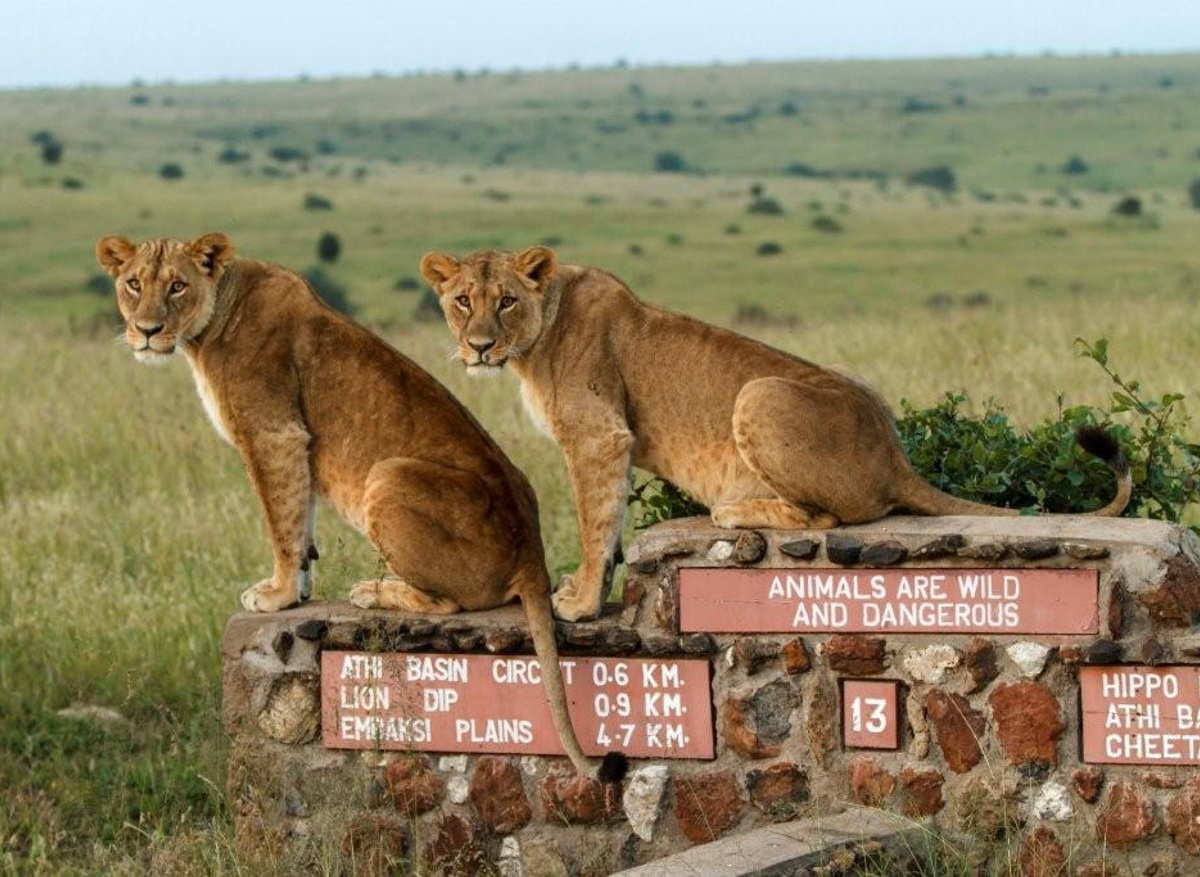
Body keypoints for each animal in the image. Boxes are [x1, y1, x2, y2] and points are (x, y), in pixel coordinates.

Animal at [95, 233, 619, 779]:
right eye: (134, 284)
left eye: (177, 286)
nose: (147, 331)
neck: (212, 320)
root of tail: (532, 554)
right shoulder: (294, 447)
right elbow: (300, 523)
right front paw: (299, 591)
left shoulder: (274, 435)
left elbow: (280, 522)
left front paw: (277, 595)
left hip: (386, 475)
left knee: (451, 603)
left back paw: (372, 591)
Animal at [421, 246, 1132, 622]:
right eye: (463, 300)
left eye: (506, 300)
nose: (479, 346)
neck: (535, 338)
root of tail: (895, 456)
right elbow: (610, 523)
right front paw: (580, 590)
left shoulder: (599, 437)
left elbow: (596, 520)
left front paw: (581, 602)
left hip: (758, 393)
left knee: (829, 517)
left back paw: (732, 510)